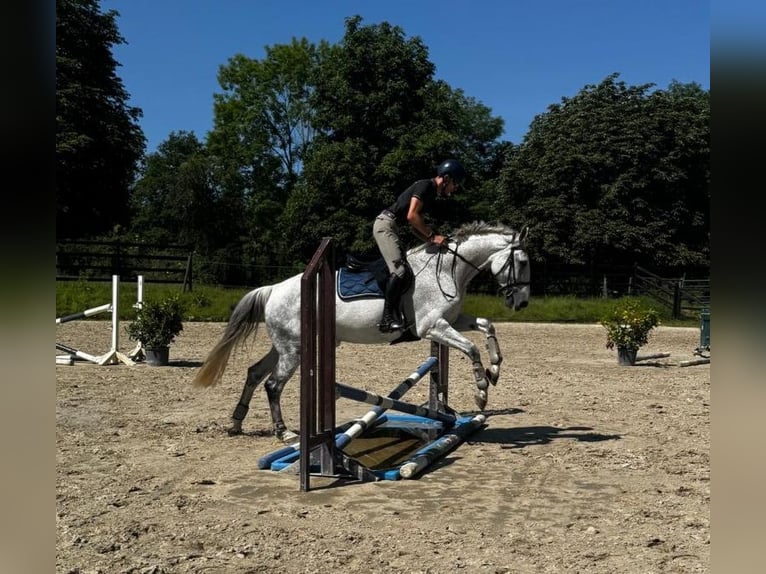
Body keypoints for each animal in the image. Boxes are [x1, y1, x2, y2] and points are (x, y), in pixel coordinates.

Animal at [193, 221, 531, 442]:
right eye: (524, 261)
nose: (522, 302)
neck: (447, 271)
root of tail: (273, 289)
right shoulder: (433, 327)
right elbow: (470, 349)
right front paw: (481, 390)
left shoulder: (452, 321)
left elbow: (486, 325)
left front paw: (495, 369)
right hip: (294, 349)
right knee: (273, 385)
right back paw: (284, 432)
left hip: (285, 345)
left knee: (254, 373)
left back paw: (236, 422)